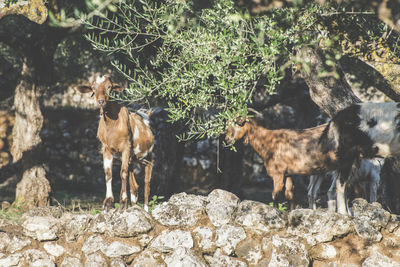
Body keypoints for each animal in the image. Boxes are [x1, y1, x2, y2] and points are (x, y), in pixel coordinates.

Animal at [76, 75, 155, 211]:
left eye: (109, 87)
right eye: (93, 87)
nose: (101, 101)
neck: (112, 124)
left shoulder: (126, 147)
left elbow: (122, 173)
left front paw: (122, 201)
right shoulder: (106, 149)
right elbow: (108, 173)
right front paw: (108, 202)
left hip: (148, 157)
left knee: (147, 184)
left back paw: (145, 209)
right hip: (132, 159)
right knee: (134, 185)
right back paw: (133, 206)